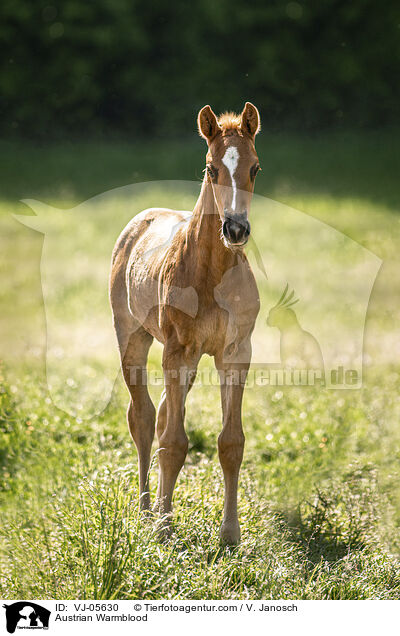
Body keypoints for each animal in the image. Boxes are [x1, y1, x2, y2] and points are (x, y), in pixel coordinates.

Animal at [109, 102, 260, 544]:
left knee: (160, 413)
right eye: (211, 168)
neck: (211, 273)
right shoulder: (176, 351)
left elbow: (231, 442)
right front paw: (162, 528)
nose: (235, 229)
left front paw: (230, 534)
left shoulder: (235, 353)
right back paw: (146, 509)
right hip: (133, 338)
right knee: (143, 419)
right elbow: (173, 442)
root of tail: (141, 217)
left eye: (255, 168)